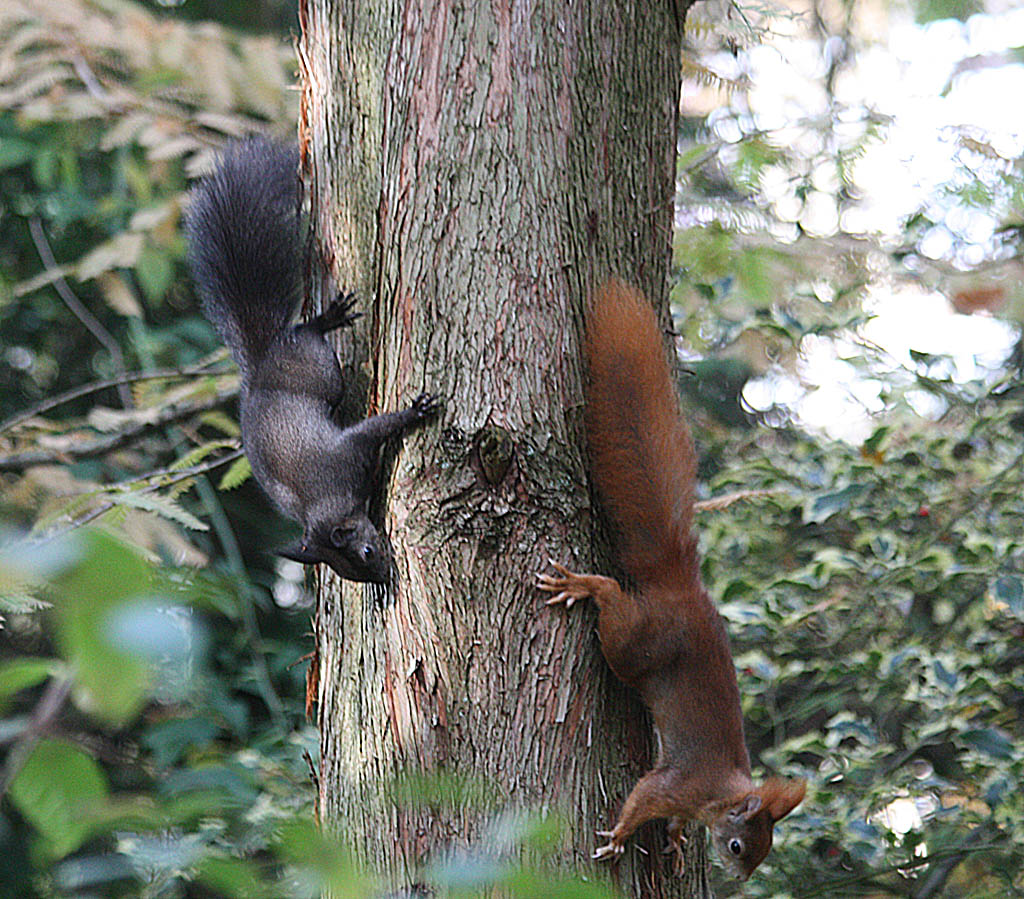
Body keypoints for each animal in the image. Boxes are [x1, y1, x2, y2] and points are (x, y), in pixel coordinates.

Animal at [186, 134, 442, 585]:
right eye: (357, 569)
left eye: (367, 551)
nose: (383, 579)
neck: (322, 503)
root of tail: (263, 362)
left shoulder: (347, 454)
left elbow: (377, 428)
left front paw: (415, 411)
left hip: (318, 369)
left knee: (308, 335)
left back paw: (327, 319)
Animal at [536, 280, 806, 880]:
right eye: (739, 846)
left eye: (763, 852)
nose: (739, 879)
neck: (720, 796)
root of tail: (681, 586)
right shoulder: (676, 783)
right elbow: (643, 799)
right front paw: (618, 837)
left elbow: (674, 822)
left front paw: (678, 841)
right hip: (637, 641)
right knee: (614, 604)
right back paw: (585, 586)